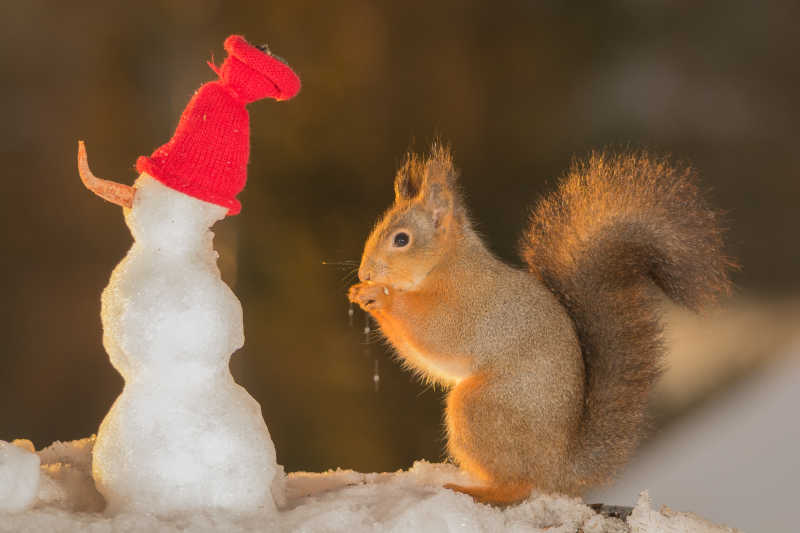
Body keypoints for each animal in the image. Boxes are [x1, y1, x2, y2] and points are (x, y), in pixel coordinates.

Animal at [346, 143, 736, 504]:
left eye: (401, 239)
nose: (365, 273)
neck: (446, 264)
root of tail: (557, 469)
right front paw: (359, 292)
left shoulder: (464, 308)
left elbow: (433, 333)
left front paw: (381, 296)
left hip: (478, 408)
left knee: (518, 484)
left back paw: (479, 490)